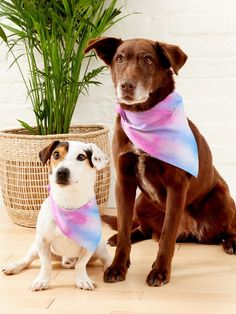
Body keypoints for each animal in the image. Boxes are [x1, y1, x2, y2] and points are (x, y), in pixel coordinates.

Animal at [1, 141, 112, 290]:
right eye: (56, 154)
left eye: (81, 157)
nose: (62, 172)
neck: (68, 202)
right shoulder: (42, 241)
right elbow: (46, 264)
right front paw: (42, 280)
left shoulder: (89, 244)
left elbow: (80, 264)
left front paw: (82, 280)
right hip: (35, 247)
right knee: (27, 259)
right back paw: (14, 266)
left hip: (99, 247)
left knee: (107, 258)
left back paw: (111, 268)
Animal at [85, 37, 236, 288]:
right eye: (119, 59)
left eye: (148, 60)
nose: (126, 85)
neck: (142, 116)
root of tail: (193, 233)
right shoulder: (123, 182)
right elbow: (125, 226)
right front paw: (117, 266)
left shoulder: (177, 187)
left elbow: (166, 237)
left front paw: (160, 271)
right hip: (141, 203)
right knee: (143, 229)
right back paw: (120, 236)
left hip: (221, 198)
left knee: (229, 227)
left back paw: (231, 242)